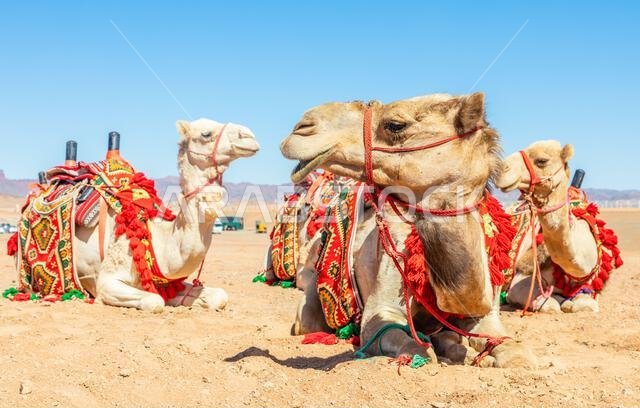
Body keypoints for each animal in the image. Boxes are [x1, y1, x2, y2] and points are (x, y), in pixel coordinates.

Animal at [22, 118, 260, 312]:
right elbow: (155, 301)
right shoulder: (107, 280)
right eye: (206, 134)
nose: (249, 135)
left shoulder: (169, 282)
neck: (157, 238)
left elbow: (219, 296)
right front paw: (97, 300)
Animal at [281, 93, 535, 367]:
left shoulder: (486, 311)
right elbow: (408, 343)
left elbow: (513, 349)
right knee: (307, 321)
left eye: (395, 125)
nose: (302, 126)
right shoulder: (382, 308)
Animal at [496, 140, 602, 313]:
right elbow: (551, 305)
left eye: (542, 160)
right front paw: (560, 301)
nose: (499, 170)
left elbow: (586, 304)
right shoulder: (519, 280)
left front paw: (570, 302)